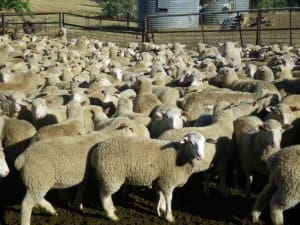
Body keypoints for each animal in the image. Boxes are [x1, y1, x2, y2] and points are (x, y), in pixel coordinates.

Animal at [15, 124, 143, 225]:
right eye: (133, 133)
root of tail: (22, 158)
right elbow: (98, 192)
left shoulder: (86, 175)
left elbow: (81, 188)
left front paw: (78, 205)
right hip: (39, 180)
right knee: (26, 204)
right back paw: (27, 221)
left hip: (36, 182)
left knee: (36, 198)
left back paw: (51, 210)